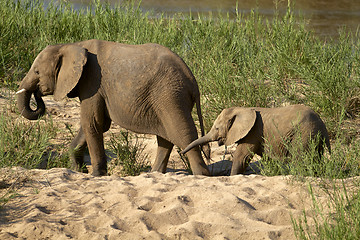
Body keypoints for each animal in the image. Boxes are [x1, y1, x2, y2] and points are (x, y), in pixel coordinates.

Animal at [181, 104, 330, 175]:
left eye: (217, 128)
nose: (181, 152)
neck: (241, 109)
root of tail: (322, 124)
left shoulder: (252, 132)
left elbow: (241, 157)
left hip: (304, 133)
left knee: (301, 159)